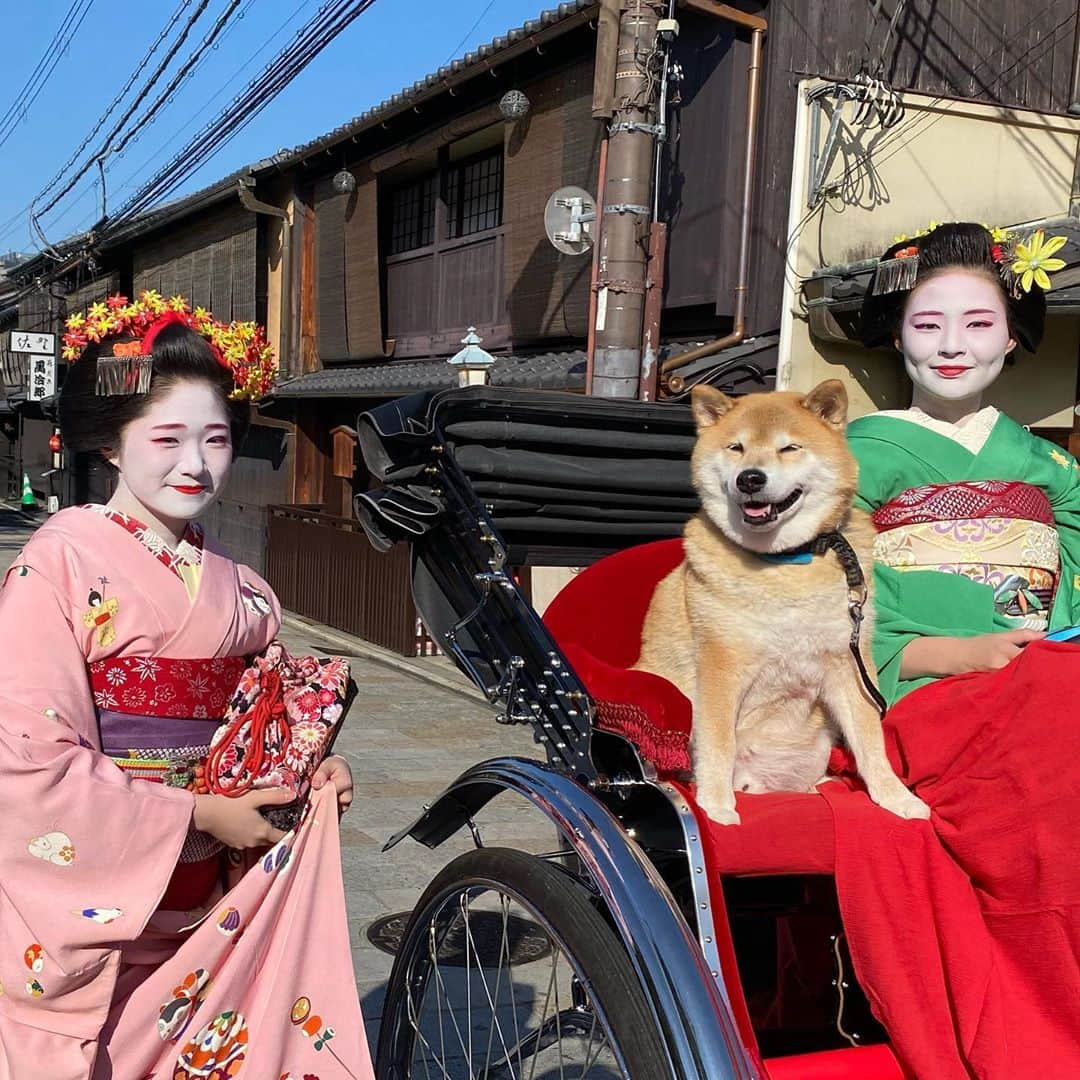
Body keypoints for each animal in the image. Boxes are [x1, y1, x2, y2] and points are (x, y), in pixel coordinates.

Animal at [630, 380, 928, 825]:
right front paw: (715, 805)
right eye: (735, 447)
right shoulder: (721, 665)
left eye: (789, 448)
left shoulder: (849, 665)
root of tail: (754, 782)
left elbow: (871, 740)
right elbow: (718, 742)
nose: (751, 478)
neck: (787, 562)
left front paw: (895, 797)